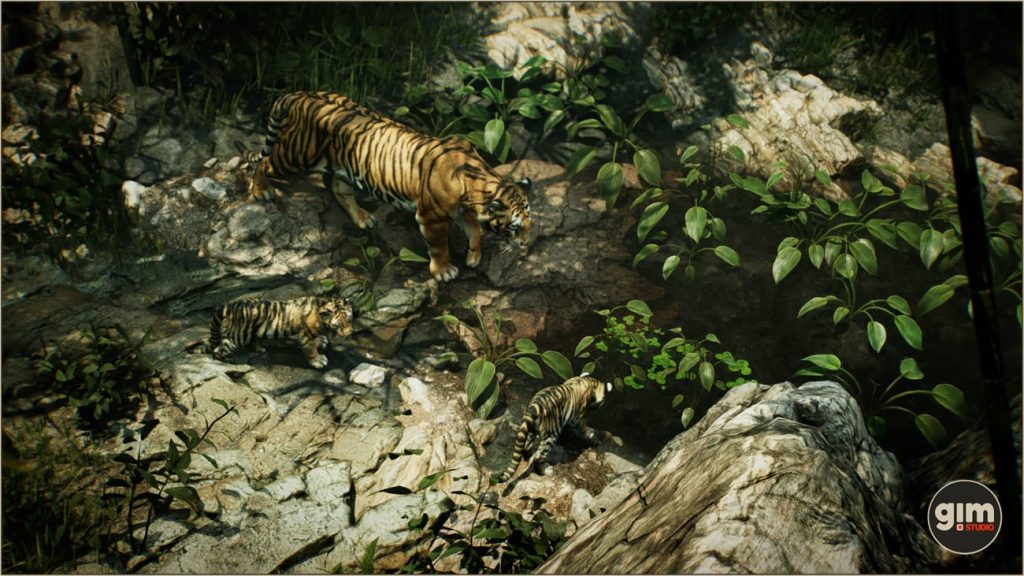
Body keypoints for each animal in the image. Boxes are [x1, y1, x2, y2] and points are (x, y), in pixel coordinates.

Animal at [206, 296, 354, 369]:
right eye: (338, 325)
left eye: (348, 318)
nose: (349, 332)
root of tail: (228, 306)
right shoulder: (305, 335)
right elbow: (310, 349)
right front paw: (318, 361)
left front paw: (321, 340)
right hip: (238, 337)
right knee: (219, 349)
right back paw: (225, 361)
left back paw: (260, 349)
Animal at [248, 91, 533, 282]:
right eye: (515, 228)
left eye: (530, 224)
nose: (526, 245)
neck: (479, 183)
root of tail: (302, 95)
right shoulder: (431, 217)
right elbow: (439, 246)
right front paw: (444, 271)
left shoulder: (460, 210)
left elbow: (475, 229)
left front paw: (474, 256)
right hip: (296, 154)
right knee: (262, 161)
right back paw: (260, 191)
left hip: (343, 166)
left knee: (340, 190)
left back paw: (364, 219)